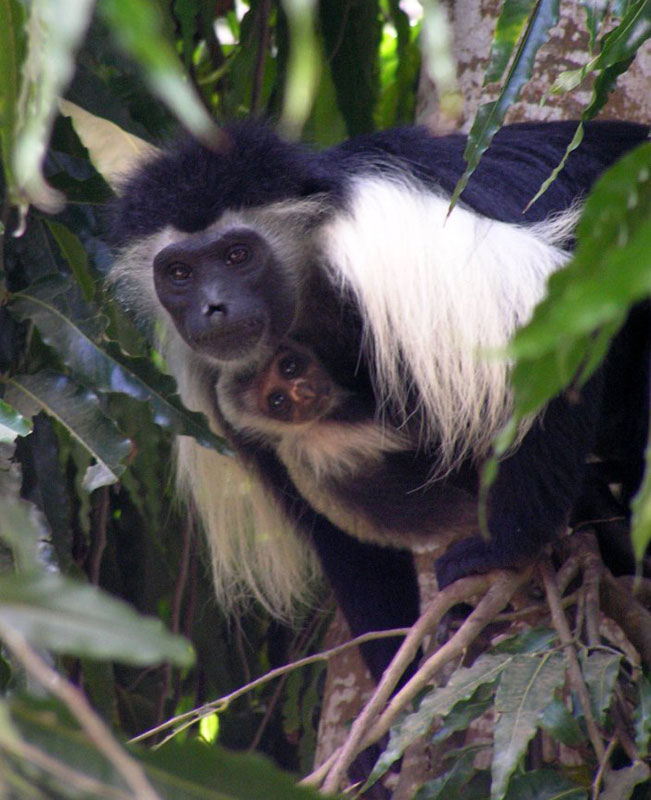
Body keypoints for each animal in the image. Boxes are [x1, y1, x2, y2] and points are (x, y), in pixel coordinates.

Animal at [109, 122, 648, 684]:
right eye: (180, 273)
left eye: (237, 254)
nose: (213, 307)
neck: (306, 285)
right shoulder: (213, 392)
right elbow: (337, 536)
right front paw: (396, 673)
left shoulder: (386, 252)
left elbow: (554, 340)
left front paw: (502, 550)